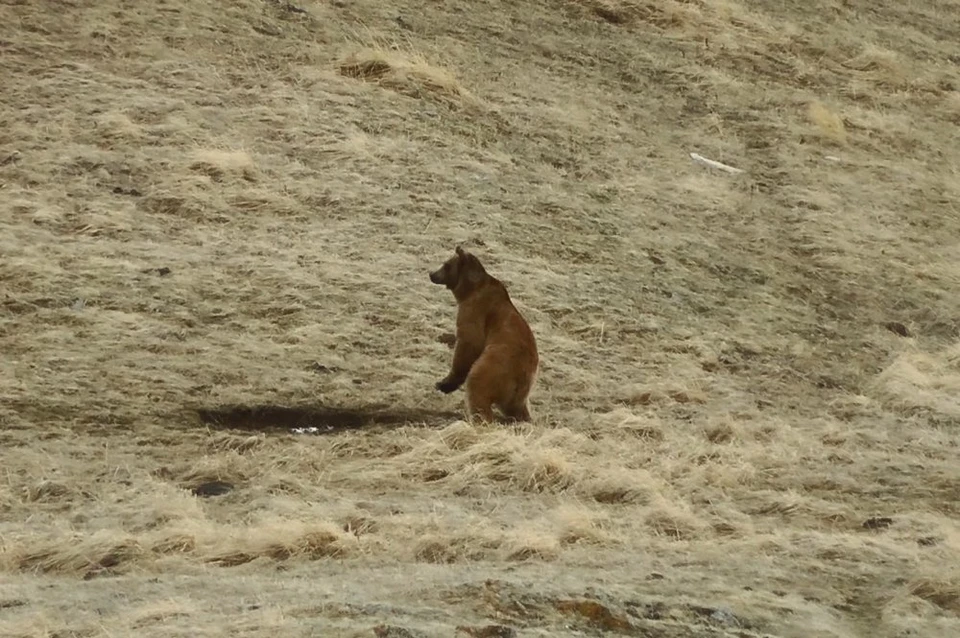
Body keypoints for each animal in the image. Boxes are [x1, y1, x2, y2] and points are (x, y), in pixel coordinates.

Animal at [430, 248, 540, 422]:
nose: (432, 274)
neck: (470, 289)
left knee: (477, 386)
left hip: (495, 364)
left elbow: (468, 344)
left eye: (446, 265)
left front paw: (443, 384)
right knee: (519, 409)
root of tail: (522, 375)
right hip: (521, 391)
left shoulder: (475, 311)